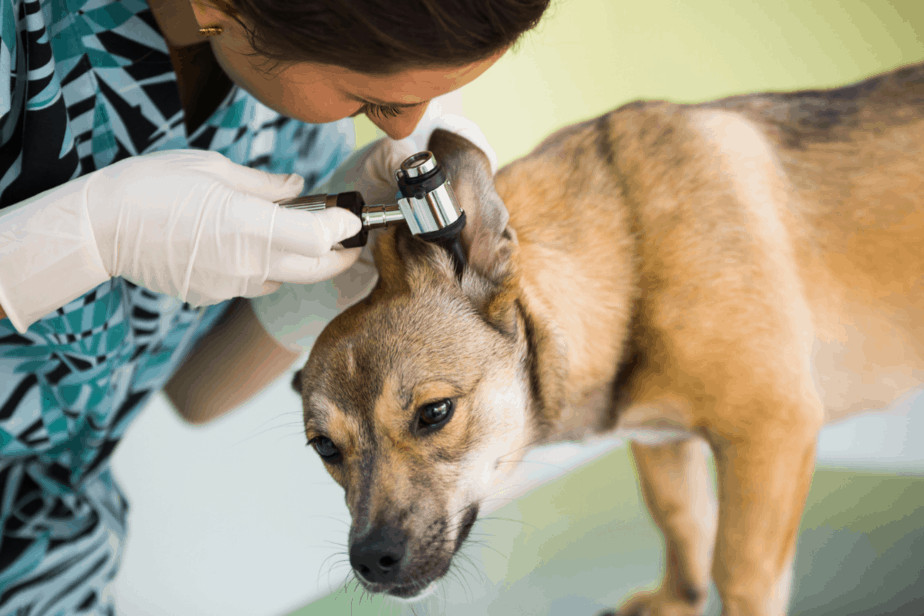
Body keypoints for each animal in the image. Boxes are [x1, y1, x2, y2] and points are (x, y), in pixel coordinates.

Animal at [290, 63, 924, 616]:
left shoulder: (771, 433)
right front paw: (677, 601)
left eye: (435, 413)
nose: (371, 561)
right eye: (324, 448)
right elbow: (682, 522)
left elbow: (739, 571)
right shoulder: (662, 441)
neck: (628, 254)